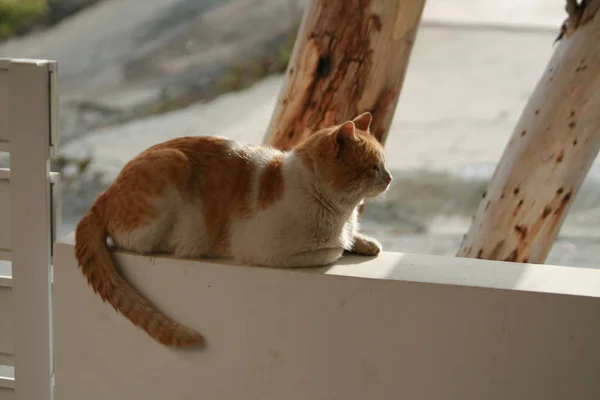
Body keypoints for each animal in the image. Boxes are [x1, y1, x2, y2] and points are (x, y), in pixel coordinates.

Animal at [74, 111, 394, 346]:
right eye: (373, 167)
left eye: (384, 163)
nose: (390, 177)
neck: (341, 214)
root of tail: (104, 193)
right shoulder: (271, 251)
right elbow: (331, 250)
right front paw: (343, 246)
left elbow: (352, 239)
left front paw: (364, 242)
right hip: (171, 167)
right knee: (140, 243)